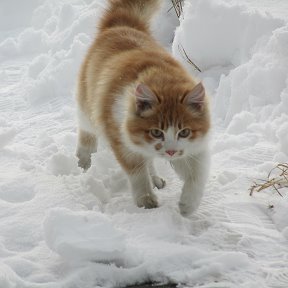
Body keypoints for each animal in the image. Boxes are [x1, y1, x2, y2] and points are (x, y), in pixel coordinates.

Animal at [76, 0, 212, 216]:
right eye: (156, 132)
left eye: (184, 132)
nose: (170, 152)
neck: (161, 80)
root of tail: (122, 24)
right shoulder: (121, 139)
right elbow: (137, 173)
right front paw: (146, 200)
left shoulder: (194, 147)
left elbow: (196, 176)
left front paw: (187, 205)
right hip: (88, 105)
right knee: (86, 131)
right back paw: (84, 160)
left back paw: (156, 178)